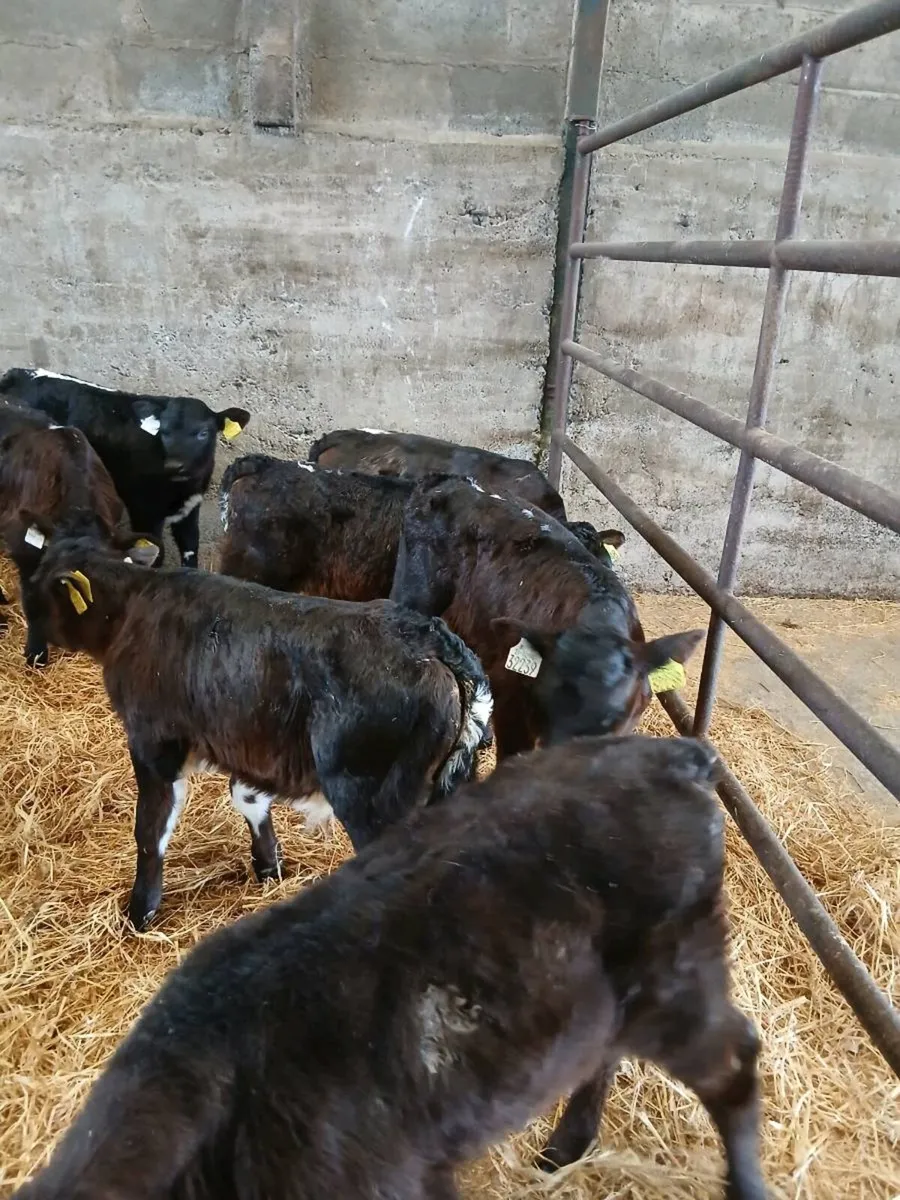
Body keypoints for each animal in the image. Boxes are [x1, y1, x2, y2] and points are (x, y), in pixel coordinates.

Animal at [0, 368, 250, 566]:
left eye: (203, 433)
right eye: (164, 432)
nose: (174, 465)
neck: (182, 488)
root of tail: (15, 373)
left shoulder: (190, 509)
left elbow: (190, 550)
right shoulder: (144, 512)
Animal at [23, 517, 492, 930]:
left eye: (42, 583)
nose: (27, 622)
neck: (132, 608)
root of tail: (431, 639)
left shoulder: (154, 742)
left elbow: (151, 830)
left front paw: (140, 913)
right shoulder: (251, 744)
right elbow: (248, 798)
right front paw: (269, 866)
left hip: (373, 797)